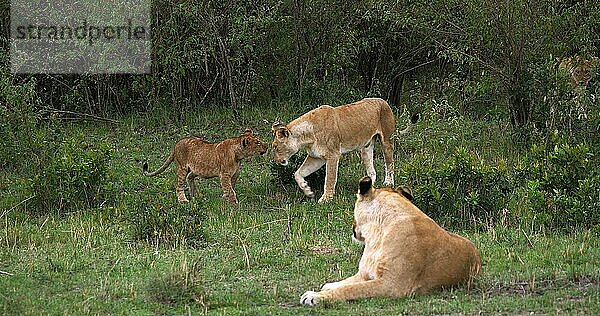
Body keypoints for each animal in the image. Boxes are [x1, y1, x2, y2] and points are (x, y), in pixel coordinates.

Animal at [272, 97, 418, 204]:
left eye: (275, 147)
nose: (275, 161)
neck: (306, 136)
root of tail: (383, 100)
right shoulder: (316, 157)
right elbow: (298, 173)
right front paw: (307, 190)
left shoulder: (333, 155)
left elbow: (329, 179)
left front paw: (326, 199)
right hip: (366, 148)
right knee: (372, 171)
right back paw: (364, 190)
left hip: (387, 140)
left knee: (390, 163)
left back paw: (388, 182)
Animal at [300, 177, 482, 304]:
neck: (376, 236)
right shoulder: (365, 273)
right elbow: (347, 283)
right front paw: (325, 287)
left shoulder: (392, 285)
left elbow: (352, 289)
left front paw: (314, 297)